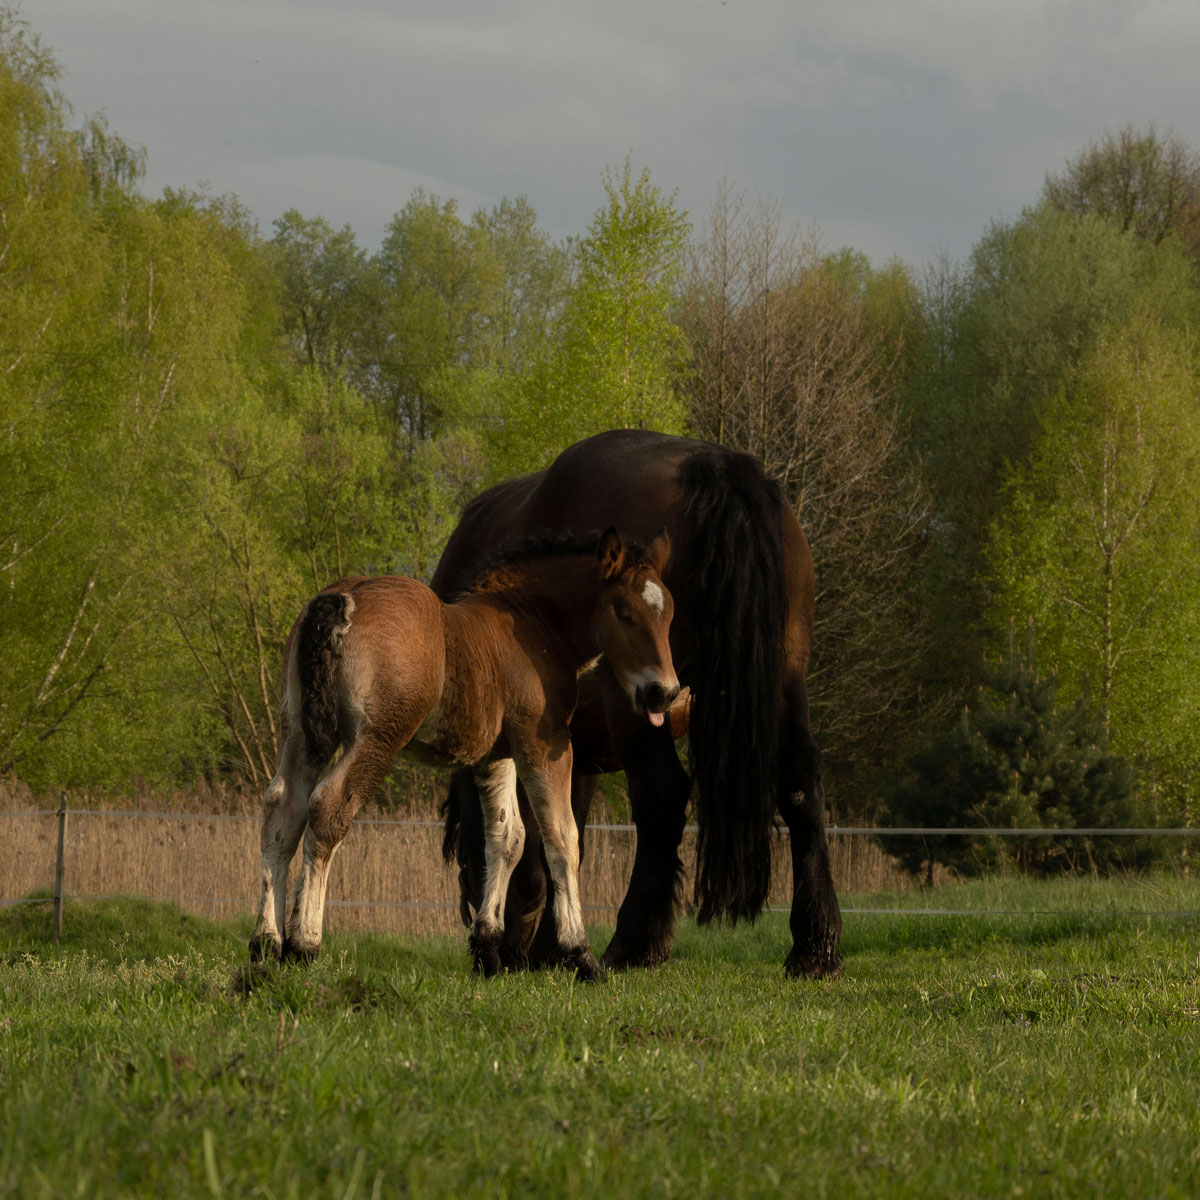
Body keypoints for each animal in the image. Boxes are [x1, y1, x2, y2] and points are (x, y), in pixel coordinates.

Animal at [248, 527, 679, 981]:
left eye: (668, 615)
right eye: (623, 612)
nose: (663, 693)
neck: (533, 625)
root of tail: (341, 597)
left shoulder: (495, 756)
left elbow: (507, 838)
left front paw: (487, 949)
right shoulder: (543, 744)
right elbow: (562, 839)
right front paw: (580, 954)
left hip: (298, 734)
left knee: (282, 813)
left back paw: (267, 942)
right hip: (376, 737)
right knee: (328, 812)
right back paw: (304, 944)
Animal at [434, 429, 843, 980]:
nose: (507, 952)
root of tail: (713, 465)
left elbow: (545, 834)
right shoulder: (567, 742)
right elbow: (566, 835)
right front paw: (552, 947)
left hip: (638, 700)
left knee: (662, 796)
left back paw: (634, 944)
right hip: (783, 674)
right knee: (799, 782)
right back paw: (815, 947)